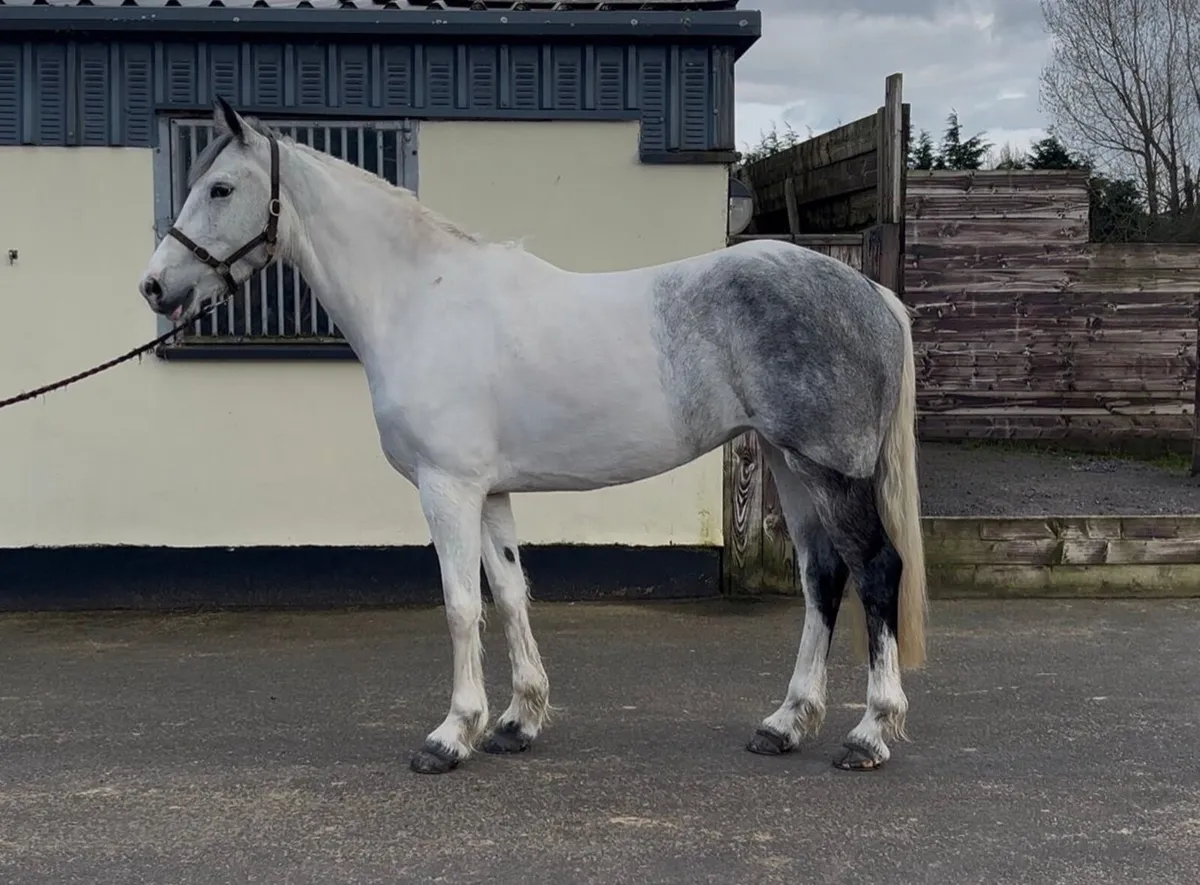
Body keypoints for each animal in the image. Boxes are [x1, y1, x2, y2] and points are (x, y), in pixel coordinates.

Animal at [137, 97, 928, 776]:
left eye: (220, 188)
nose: (153, 286)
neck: (420, 300)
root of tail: (873, 296)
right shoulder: (488, 492)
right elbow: (512, 593)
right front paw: (517, 722)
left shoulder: (447, 488)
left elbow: (461, 605)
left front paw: (451, 734)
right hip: (792, 466)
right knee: (822, 578)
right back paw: (786, 723)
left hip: (832, 471)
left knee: (876, 570)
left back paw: (868, 733)